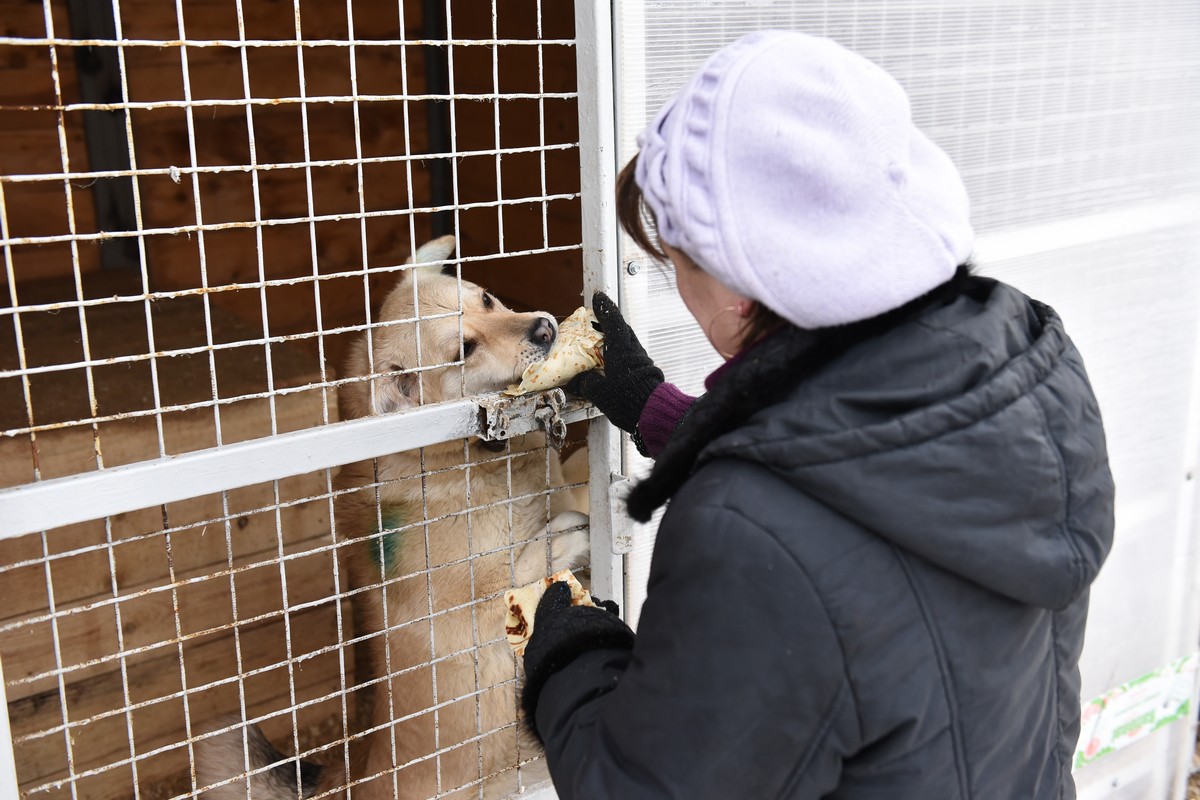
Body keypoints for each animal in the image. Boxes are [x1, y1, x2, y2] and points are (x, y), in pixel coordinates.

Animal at [199, 235, 592, 796]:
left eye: (487, 299)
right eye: (463, 350)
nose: (544, 327)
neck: (473, 460)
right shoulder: (477, 609)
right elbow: (523, 570)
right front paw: (564, 540)